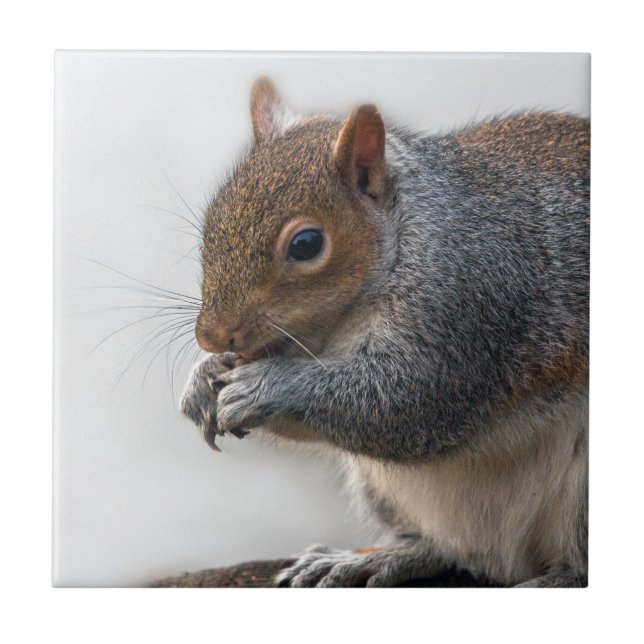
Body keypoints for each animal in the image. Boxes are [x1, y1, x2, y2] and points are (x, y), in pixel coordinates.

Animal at [180, 76, 589, 588]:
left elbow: (402, 403)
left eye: (306, 244)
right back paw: (376, 557)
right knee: (450, 550)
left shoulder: (468, 304)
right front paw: (202, 378)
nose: (212, 337)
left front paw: (263, 387)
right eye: (212, 222)